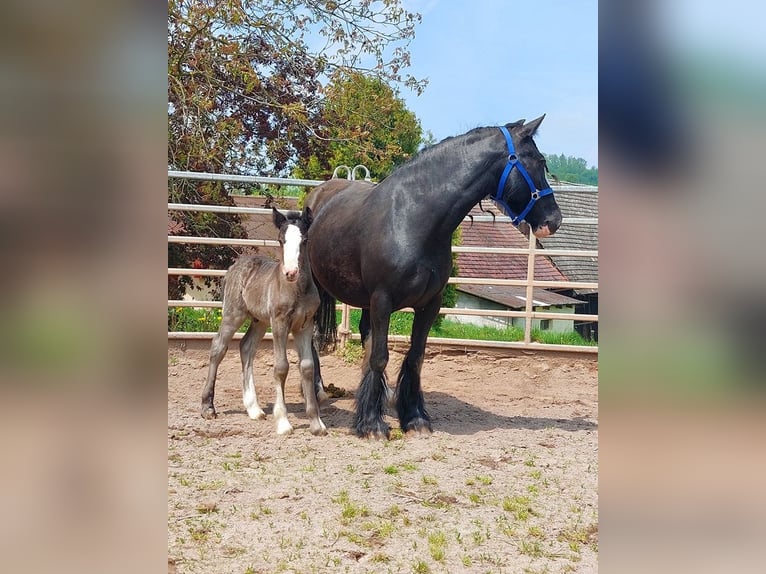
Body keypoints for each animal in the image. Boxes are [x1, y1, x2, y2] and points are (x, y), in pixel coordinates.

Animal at [306, 117, 564, 440]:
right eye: (539, 161)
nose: (554, 220)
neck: (413, 218)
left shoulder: (430, 304)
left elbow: (415, 357)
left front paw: (413, 417)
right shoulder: (382, 300)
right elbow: (380, 356)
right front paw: (372, 424)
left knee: (365, 336)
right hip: (316, 288)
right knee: (314, 336)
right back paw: (318, 392)